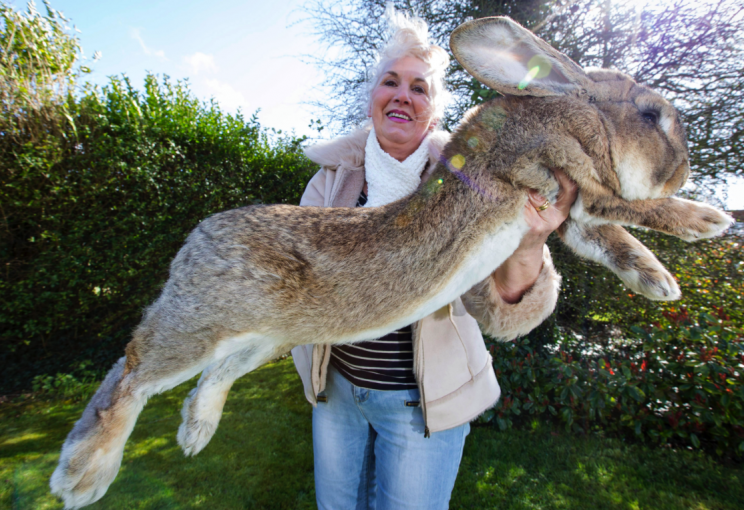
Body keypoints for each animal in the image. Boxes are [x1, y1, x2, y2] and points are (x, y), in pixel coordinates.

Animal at [50, 14, 732, 506]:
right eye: (651, 115)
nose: (684, 170)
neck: (570, 110)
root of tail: (196, 239)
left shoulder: (570, 212)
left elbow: (611, 237)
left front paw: (660, 282)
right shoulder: (562, 175)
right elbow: (629, 207)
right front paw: (707, 220)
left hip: (266, 337)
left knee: (211, 375)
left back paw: (194, 432)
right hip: (207, 320)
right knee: (130, 372)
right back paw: (81, 476)